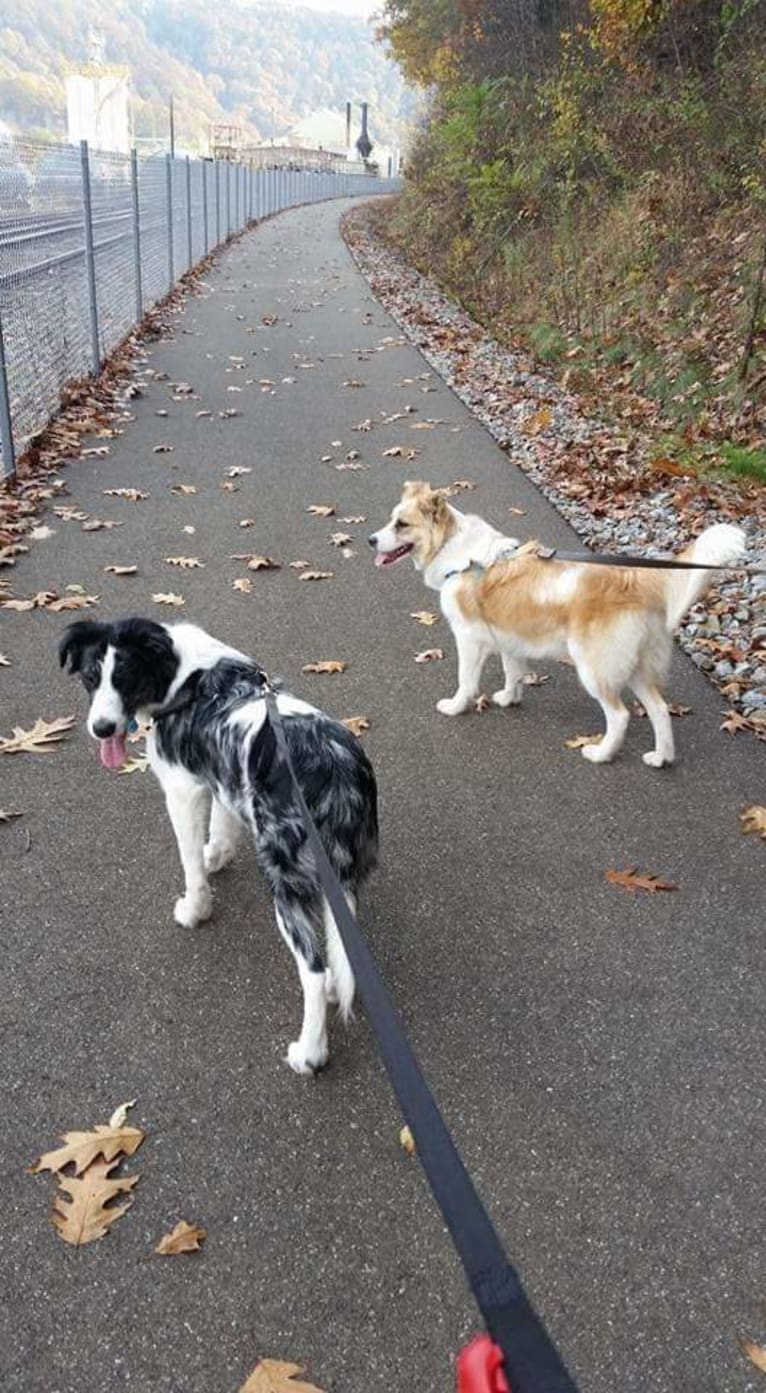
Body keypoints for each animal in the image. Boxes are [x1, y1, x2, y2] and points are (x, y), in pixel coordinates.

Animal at [61, 621, 378, 1075]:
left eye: (126, 678)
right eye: (90, 677)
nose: (102, 729)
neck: (182, 675)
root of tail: (336, 774)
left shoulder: (182, 790)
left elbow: (191, 864)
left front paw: (195, 909)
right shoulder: (224, 777)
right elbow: (221, 828)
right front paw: (218, 855)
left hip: (285, 884)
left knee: (313, 972)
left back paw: (309, 1053)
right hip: (340, 877)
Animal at [370, 481, 746, 768]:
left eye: (401, 524)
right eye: (391, 520)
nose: (370, 540)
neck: (461, 556)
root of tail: (635, 580)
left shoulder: (470, 640)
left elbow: (466, 681)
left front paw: (456, 706)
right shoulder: (509, 637)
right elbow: (513, 672)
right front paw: (509, 698)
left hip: (595, 669)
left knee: (620, 715)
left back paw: (601, 754)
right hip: (634, 667)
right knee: (660, 711)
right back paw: (660, 757)